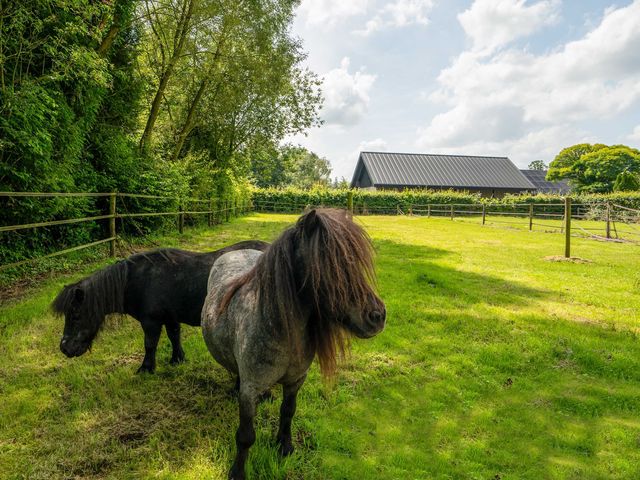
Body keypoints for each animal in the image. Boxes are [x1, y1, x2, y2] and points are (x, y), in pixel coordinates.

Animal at [52, 242, 268, 374]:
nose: (64, 348)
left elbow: (150, 345)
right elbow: (174, 337)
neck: (138, 280)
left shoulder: (151, 322)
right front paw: (177, 359)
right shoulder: (170, 318)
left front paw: (146, 368)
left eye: (76, 315)